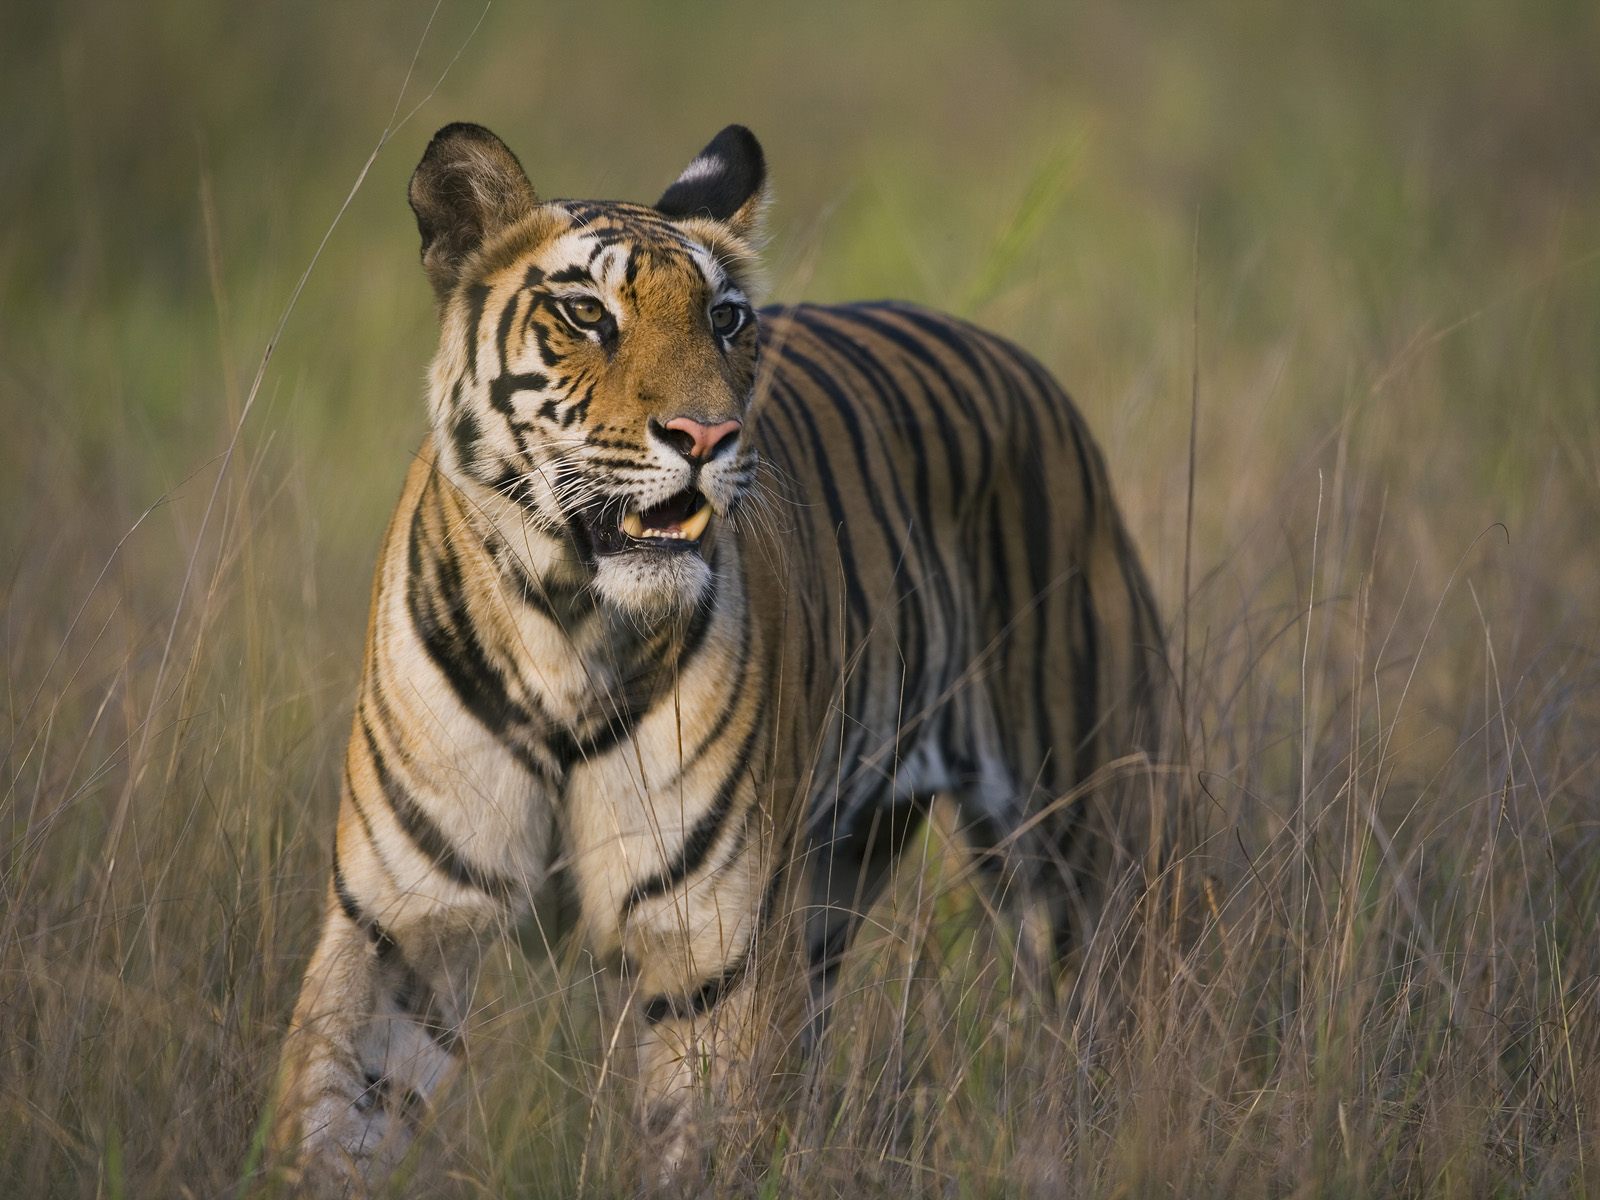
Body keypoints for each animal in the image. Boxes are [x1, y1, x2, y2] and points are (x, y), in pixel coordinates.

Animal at [272, 124, 1164, 1200]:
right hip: (833, 883)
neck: (567, 629)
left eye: (726, 319)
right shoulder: (400, 928)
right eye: (587, 313)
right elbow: (334, 1121)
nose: (705, 435)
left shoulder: (716, 954)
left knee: (1101, 1025)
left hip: (1074, 841)